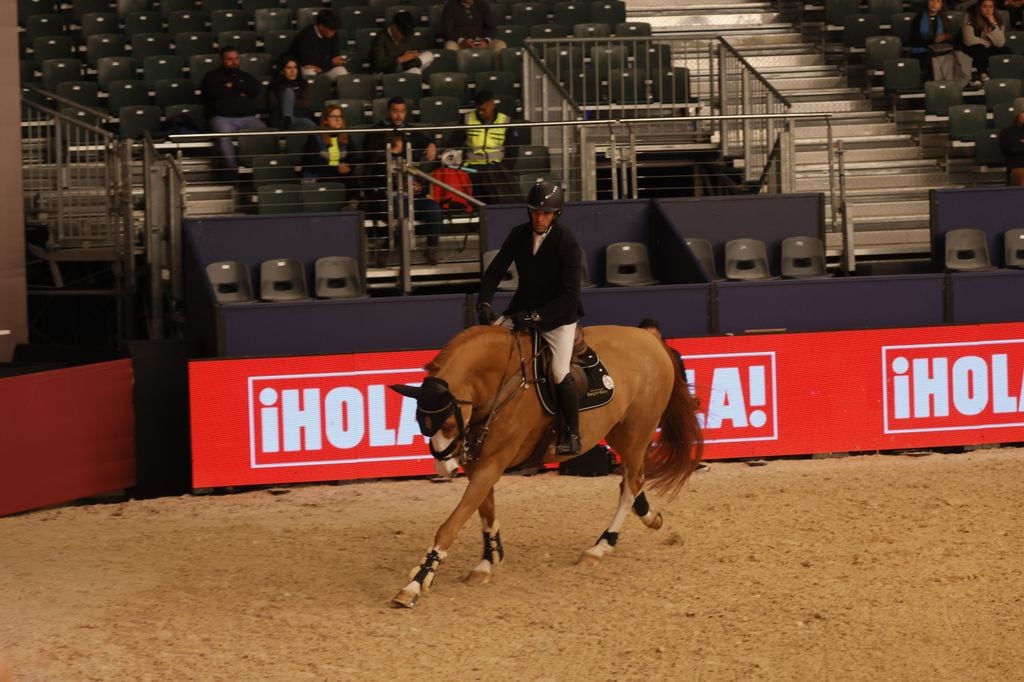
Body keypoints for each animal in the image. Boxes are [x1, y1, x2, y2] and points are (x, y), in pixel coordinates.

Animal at [385, 323, 704, 606]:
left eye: (449, 425)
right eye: (420, 424)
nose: (445, 470)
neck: (502, 382)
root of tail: (650, 339)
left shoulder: (492, 463)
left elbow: (451, 524)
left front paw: (416, 583)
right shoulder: (481, 464)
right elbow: (485, 509)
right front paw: (489, 560)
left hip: (636, 431)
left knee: (632, 483)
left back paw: (601, 546)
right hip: (619, 431)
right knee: (630, 480)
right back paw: (648, 517)